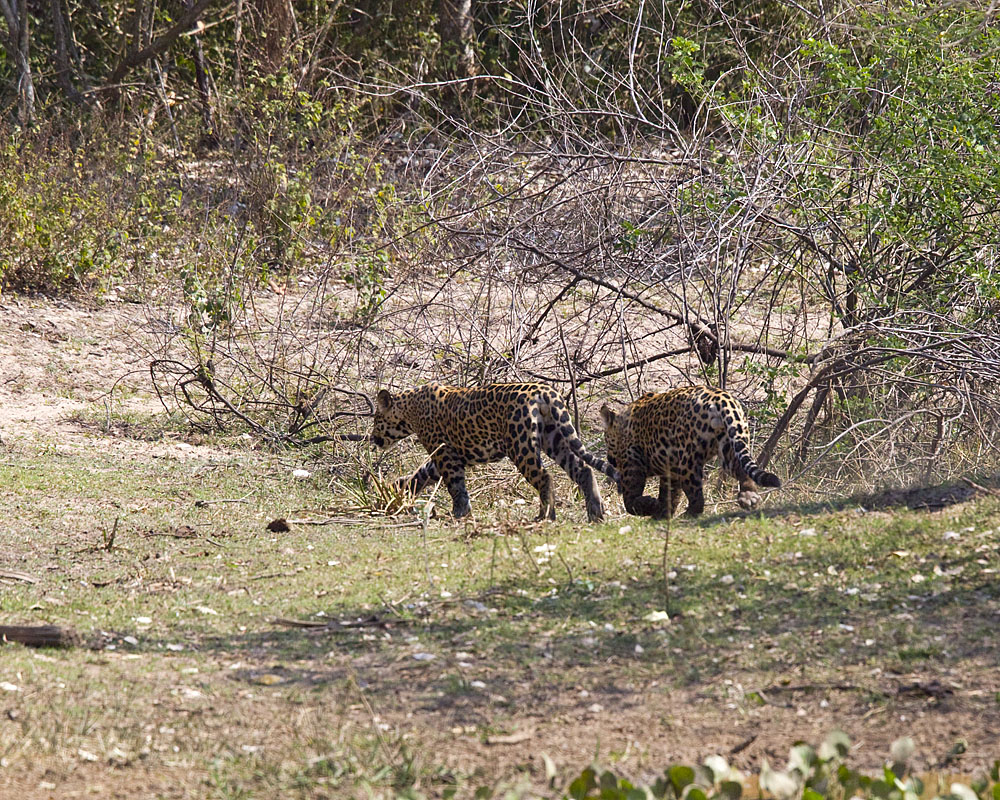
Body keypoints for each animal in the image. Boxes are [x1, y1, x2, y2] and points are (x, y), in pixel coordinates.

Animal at [371, 382, 619, 522]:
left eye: (376, 420)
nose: (373, 438)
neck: (410, 408)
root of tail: (545, 391)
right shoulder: (448, 452)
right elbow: (423, 473)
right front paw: (399, 488)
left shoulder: (444, 453)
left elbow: (455, 484)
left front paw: (460, 513)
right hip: (555, 438)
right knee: (582, 469)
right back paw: (595, 512)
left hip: (521, 446)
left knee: (545, 476)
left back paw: (545, 516)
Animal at [599, 386, 781, 518]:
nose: (609, 458)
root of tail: (720, 397)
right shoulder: (669, 470)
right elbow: (669, 494)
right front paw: (661, 513)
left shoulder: (631, 464)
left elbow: (630, 500)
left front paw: (650, 506)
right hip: (730, 445)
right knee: (742, 470)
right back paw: (748, 497)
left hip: (687, 461)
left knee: (697, 498)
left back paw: (688, 515)